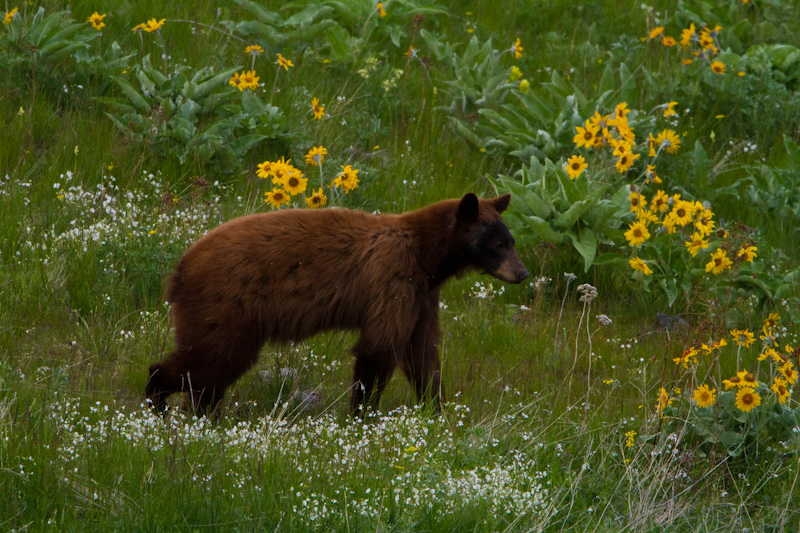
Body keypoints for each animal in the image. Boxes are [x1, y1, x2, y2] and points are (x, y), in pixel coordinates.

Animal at [146, 193, 528, 414]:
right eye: (497, 244)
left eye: (511, 241)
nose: (522, 273)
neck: (426, 255)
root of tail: (180, 269)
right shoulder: (391, 276)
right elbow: (380, 346)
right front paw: (363, 412)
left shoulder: (422, 296)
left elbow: (423, 351)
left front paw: (435, 407)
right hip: (227, 304)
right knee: (211, 359)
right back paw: (159, 398)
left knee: (209, 371)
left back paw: (202, 413)